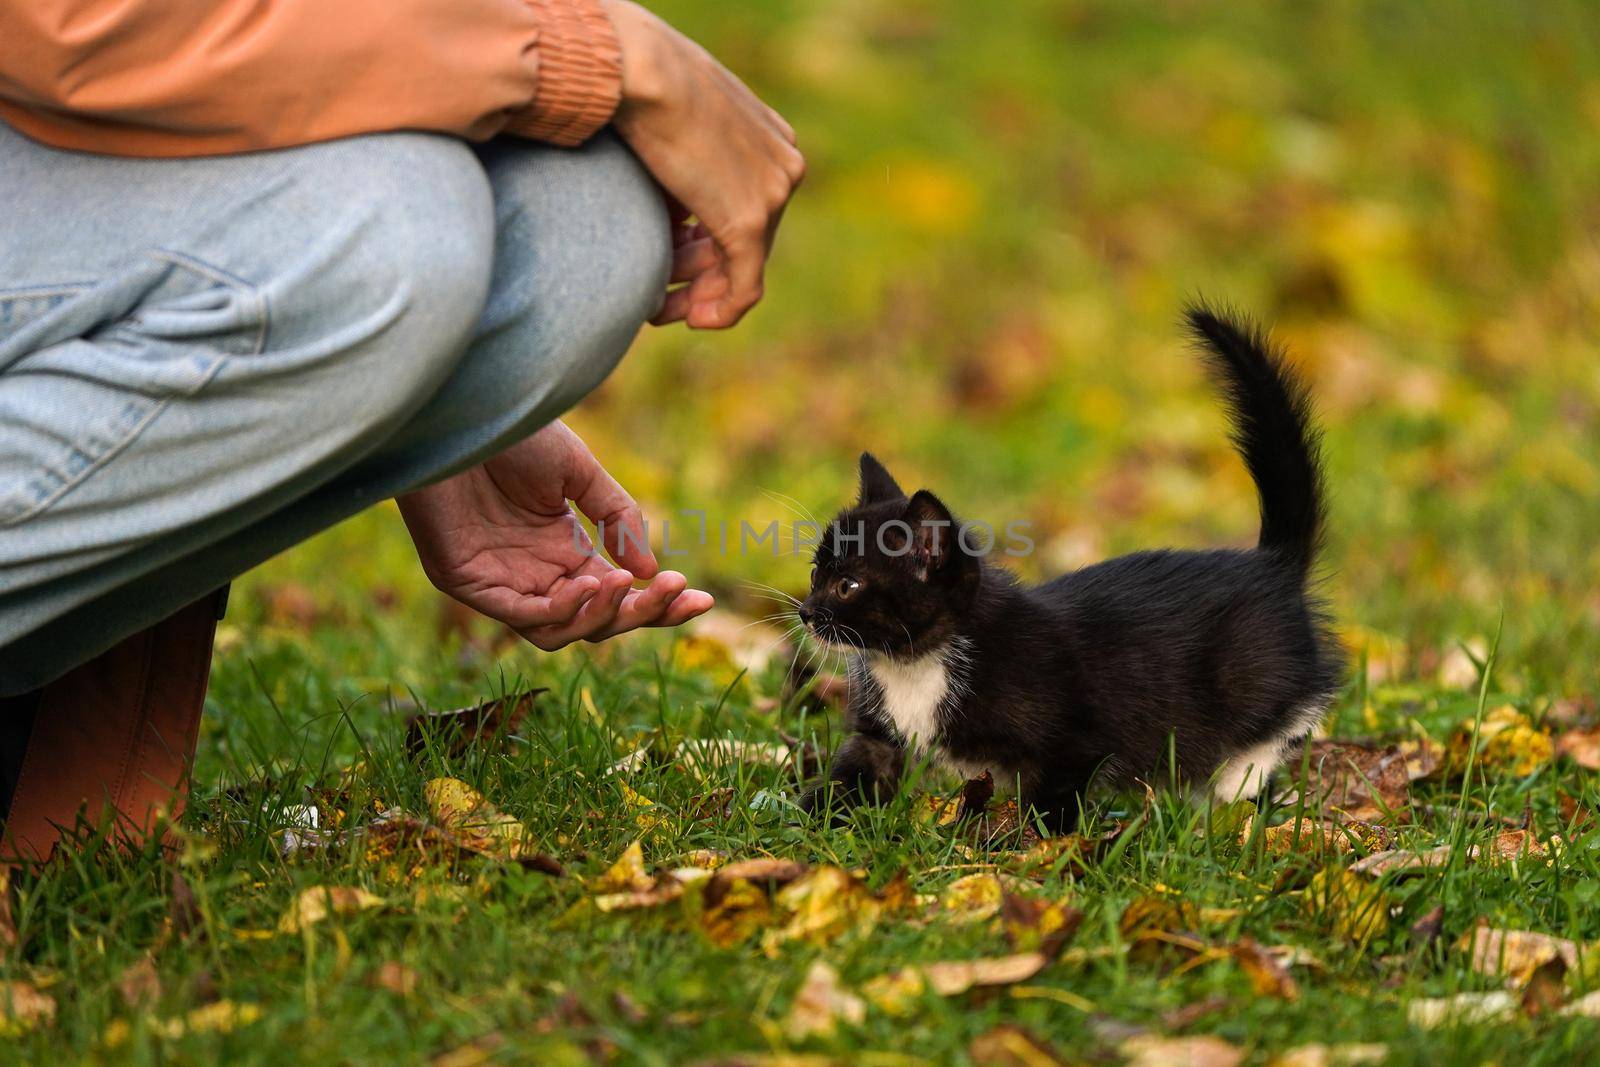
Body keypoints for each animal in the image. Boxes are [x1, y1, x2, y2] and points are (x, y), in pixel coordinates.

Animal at [806, 303, 1344, 831]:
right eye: (816, 574)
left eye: (848, 585)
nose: (807, 613)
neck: (912, 665)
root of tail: (1273, 562)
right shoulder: (880, 734)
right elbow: (858, 769)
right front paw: (813, 816)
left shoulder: (1077, 740)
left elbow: (1055, 797)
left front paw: (1035, 844)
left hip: (1258, 679)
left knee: (1280, 729)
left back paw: (1234, 794)